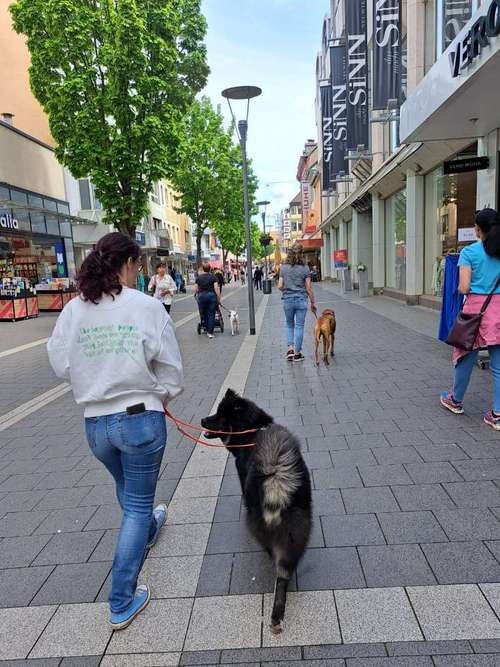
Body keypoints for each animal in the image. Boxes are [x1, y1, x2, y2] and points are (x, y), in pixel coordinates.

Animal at [200, 392, 310, 636]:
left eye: (219, 415)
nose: (202, 419)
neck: (251, 431)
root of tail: (276, 476)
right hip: (297, 530)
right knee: (285, 572)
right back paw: (278, 613)